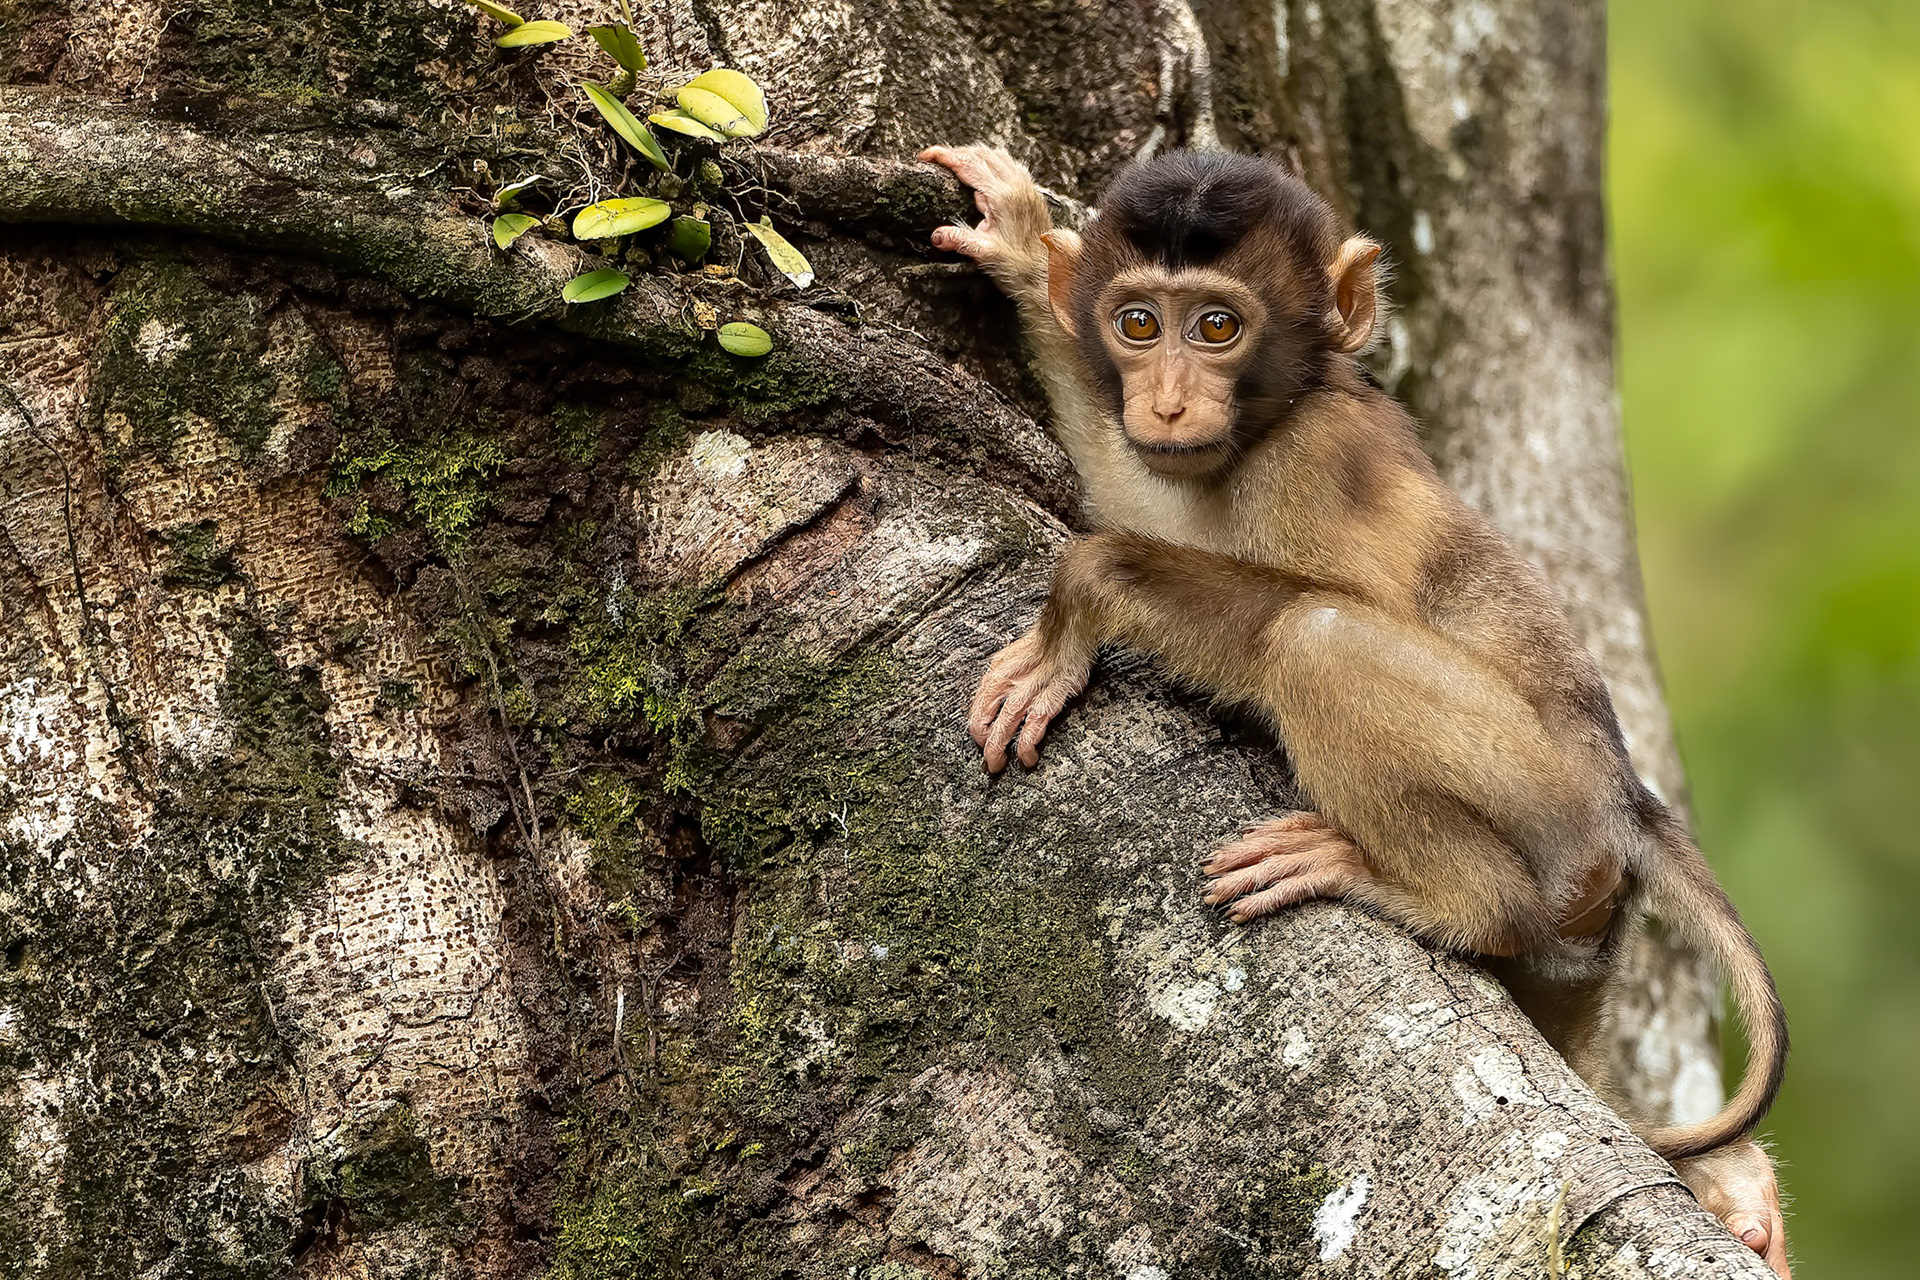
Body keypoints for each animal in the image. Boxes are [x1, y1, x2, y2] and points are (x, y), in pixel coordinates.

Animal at [918, 143, 1792, 1277]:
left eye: (1217, 327)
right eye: (1138, 323)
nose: (1165, 403)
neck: (1282, 411)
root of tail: (1627, 804)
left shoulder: (1314, 468)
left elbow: (1264, 597)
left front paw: (1078, 602)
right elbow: (1141, 495)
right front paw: (1025, 250)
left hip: (1549, 805)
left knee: (1317, 639)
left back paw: (1440, 894)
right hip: (1583, 935)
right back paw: (1736, 1189)